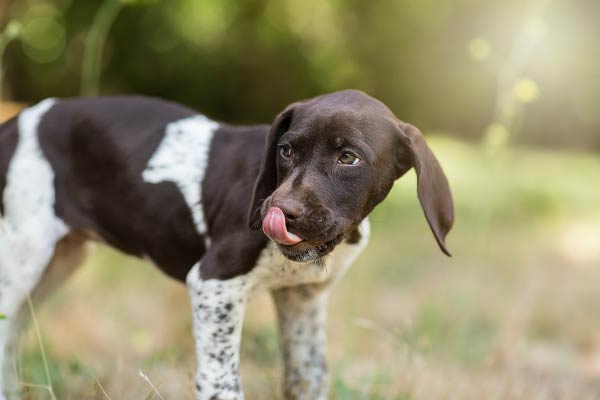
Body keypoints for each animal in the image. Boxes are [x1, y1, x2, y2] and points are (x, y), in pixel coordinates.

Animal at [0, 90, 452, 400]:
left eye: (349, 158)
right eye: (286, 150)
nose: (279, 212)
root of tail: (14, 122)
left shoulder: (302, 298)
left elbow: (308, 377)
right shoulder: (214, 284)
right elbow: (223, 382)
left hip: (59, 262)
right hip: (22, 257)